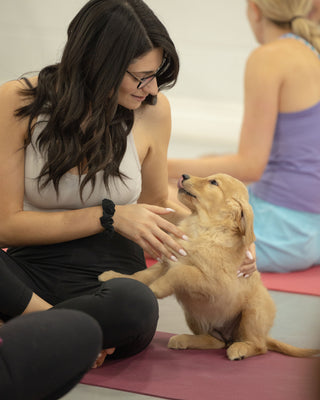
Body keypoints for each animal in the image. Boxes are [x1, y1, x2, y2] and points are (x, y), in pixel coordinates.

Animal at [99, 173, 318, 360]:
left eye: (213, 182)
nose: (184, 175)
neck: (202, 228)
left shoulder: (217, 284)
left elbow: (182, 271)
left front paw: (157, 288)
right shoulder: (167, 261)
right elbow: (141, 275)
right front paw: (112, 276)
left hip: (253, 313)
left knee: (258, 346)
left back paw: (239, 349)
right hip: (194, 314)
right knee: (216, 342)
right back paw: (184, 339)